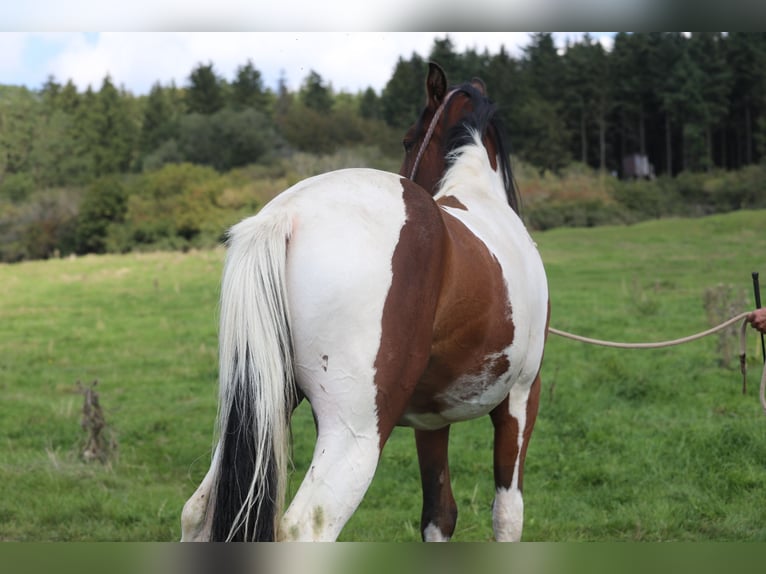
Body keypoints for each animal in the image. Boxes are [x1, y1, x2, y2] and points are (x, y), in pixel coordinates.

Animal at [182, 63, 552, 544]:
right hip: (353, 433)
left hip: (259, 411)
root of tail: (286, 215)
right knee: (307, 528)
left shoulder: (433, 420)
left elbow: (439, 515)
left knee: (198, 510)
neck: (481, 199)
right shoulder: (522, 395)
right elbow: (508, 513)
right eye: (409, 139)